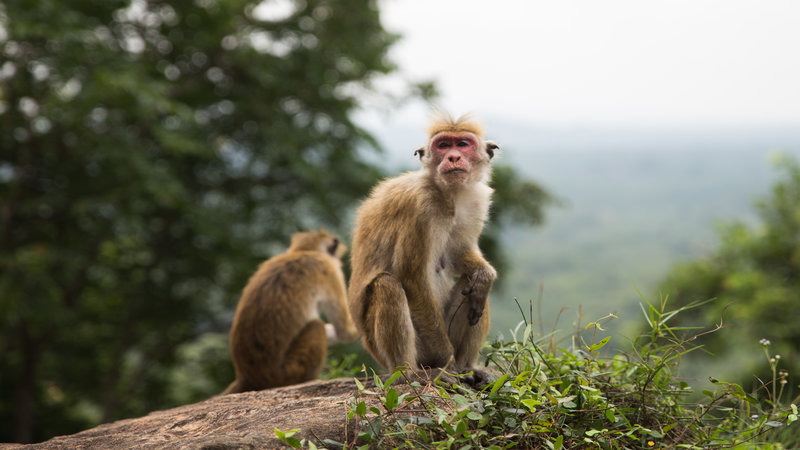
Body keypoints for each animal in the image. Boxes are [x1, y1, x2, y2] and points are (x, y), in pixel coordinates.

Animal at [219, 229, 356, 394]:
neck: (303, 252)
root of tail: (246, 376)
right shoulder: (329, 270)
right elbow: (345, 331)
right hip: (289, 372)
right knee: (317, 326)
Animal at [346, 112, 496, 386]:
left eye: (463, 144)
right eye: (443, 145)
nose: (453, 157)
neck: (449, 193)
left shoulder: (476, 201)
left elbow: (459, 255)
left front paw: (484, 273)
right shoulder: (419, 206)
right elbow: (411, 278)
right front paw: (446, 360)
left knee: (474, 288)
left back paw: (468, 367)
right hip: (410, 349)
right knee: (388, 285)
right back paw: (411, 373)